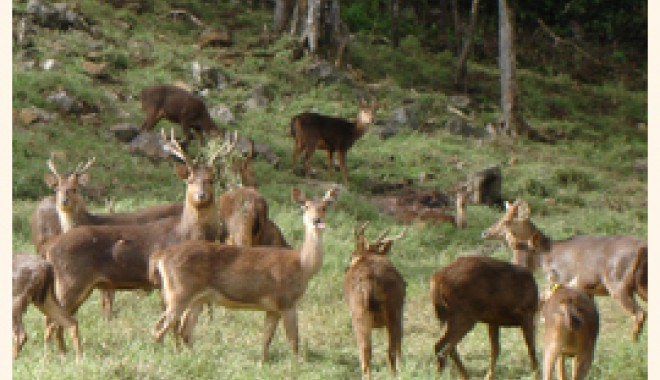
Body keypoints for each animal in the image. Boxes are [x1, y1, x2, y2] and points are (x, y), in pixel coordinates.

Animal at [32, 153, 183, 320]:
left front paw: (107, 320)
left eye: (75, 189)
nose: (63, 201)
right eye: (56, 189)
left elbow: (107, 299)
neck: (90, 221)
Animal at [147, 186, 338, 362]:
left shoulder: (273, 308)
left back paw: (196, 358)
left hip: (196, 298)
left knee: (182, 330)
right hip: (179, 292)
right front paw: (298, 366)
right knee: (159, 329)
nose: (316, 220)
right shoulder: (287, 301)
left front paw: (262, 365)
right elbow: (294, 341)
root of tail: (161, 256)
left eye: (325, 207)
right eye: (305, 206)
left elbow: (266, 339)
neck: (302, 265)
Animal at [346, 221, 408, 378]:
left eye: (353, 254)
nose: (346, 267)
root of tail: (370, 281)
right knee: (389, 350)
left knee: (365, 352)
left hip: (358, 314)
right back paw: (394, 374)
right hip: (392, 311)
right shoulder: (400, 312)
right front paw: (403, 368)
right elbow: (399, 343)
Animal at [482, 200, 648, 340]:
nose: (484, 232)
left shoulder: (560, 281)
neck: (542, 254)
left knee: (640, 314)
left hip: (618, 286)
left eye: (507, 221)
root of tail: (642, 248)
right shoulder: (585, 289)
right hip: (640, 286)